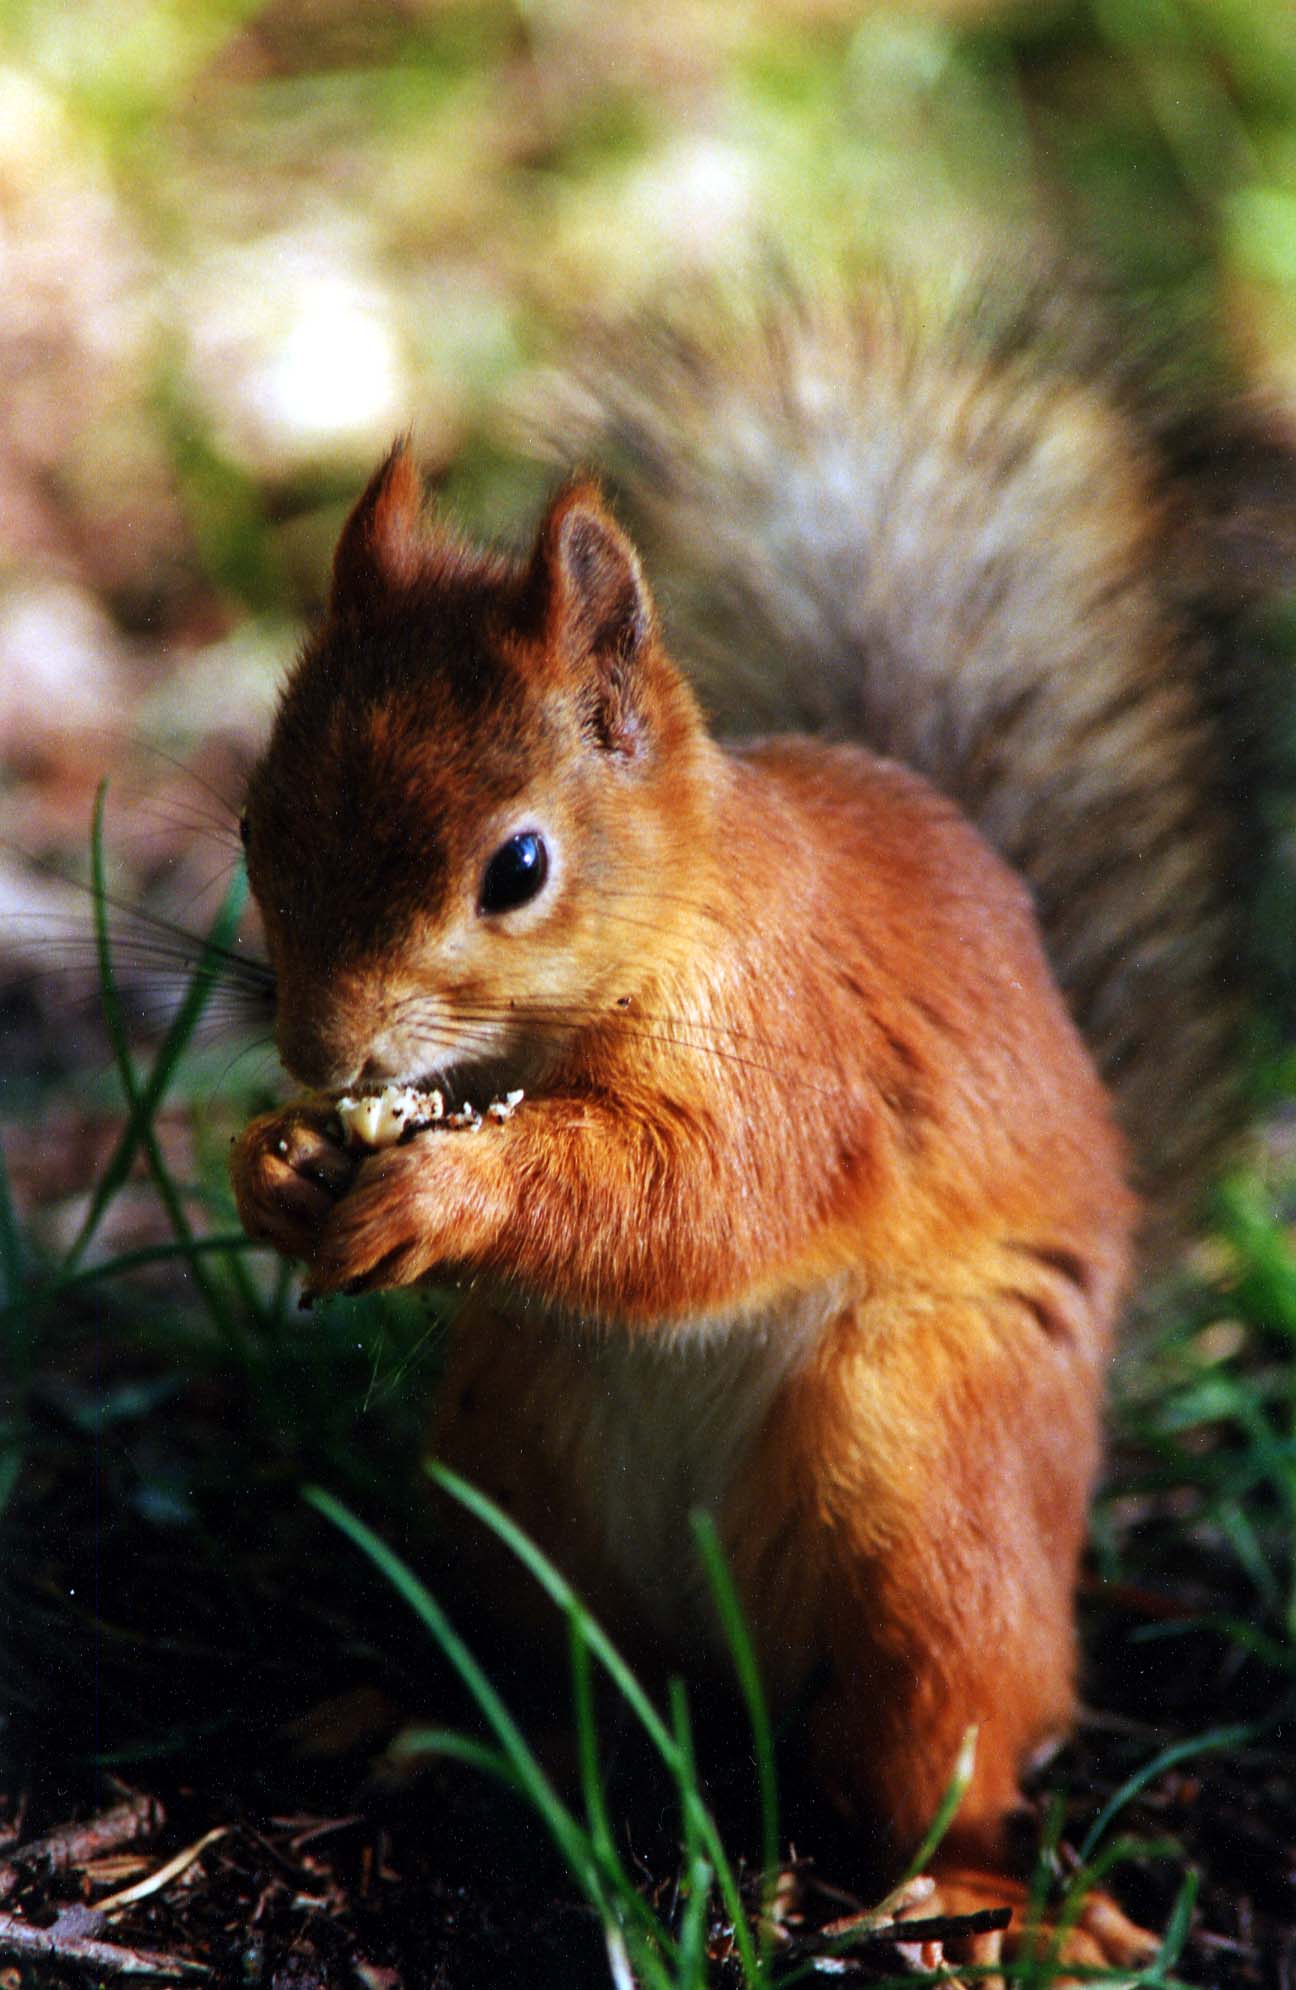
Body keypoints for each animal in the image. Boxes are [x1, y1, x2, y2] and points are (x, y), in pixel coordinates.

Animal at [227, 280, 1290, 1974]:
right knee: (565, 1678)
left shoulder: (803, 1058)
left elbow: (709, 1199)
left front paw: (448, 1195)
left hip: (930, 1492)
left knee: (948, 1743)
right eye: (257, 823)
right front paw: (272, 1166)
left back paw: (986, 1897)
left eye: (517, 866)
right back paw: (425, 1721)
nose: (322, 1051)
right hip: (512, 1468)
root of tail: (717, 1670)